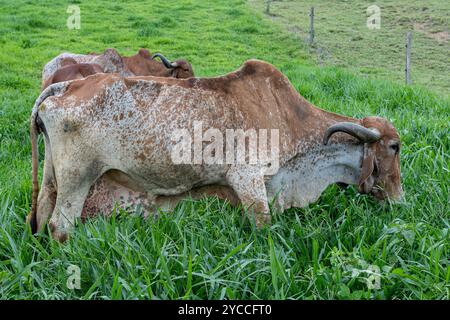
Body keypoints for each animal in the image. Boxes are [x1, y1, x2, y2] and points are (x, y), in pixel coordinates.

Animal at [29, 59, 402, 240]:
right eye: (395, 146)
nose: (399, 201)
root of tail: (68, 85)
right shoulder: (248, 178)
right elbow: (264, 226)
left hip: (52, 178)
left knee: (42, 214)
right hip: (78, 178)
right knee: (60, 227)